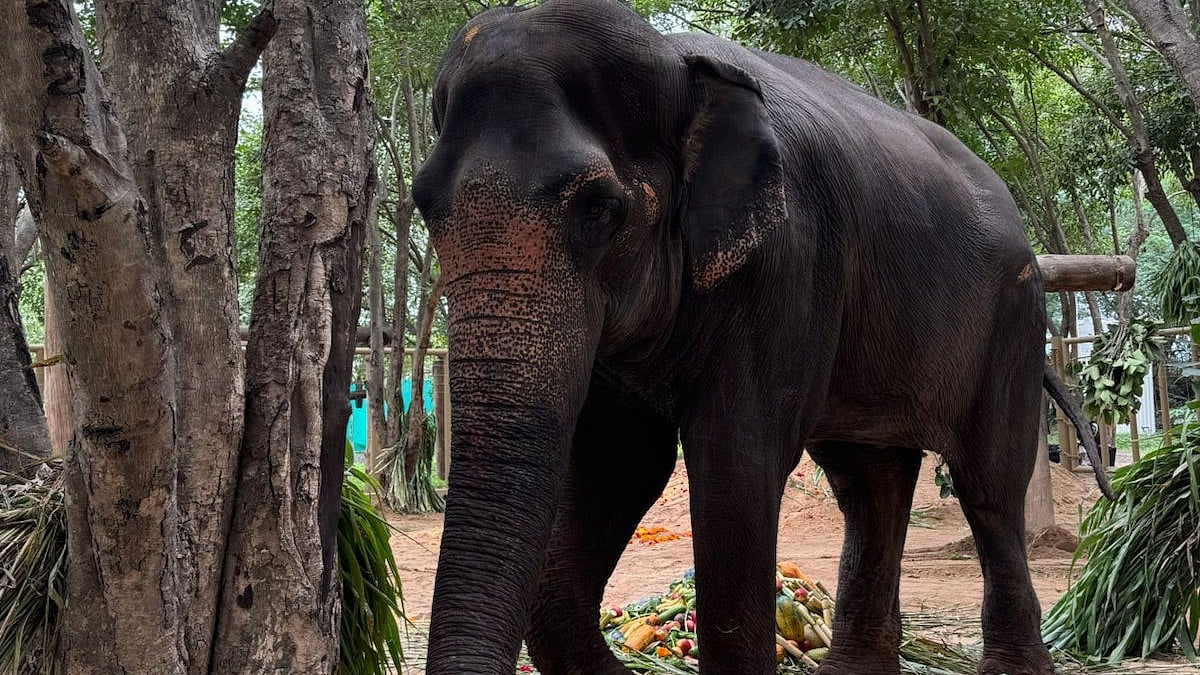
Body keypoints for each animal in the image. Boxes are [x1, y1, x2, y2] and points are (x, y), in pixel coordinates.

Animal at [411, 1, 1112, 673]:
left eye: (599, 211)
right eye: (423, 207)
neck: (674, 63)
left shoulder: (789, 259)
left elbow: (736, 458)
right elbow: (623, 458)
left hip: (1013, 317)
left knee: (987, 486)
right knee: (869, 482)